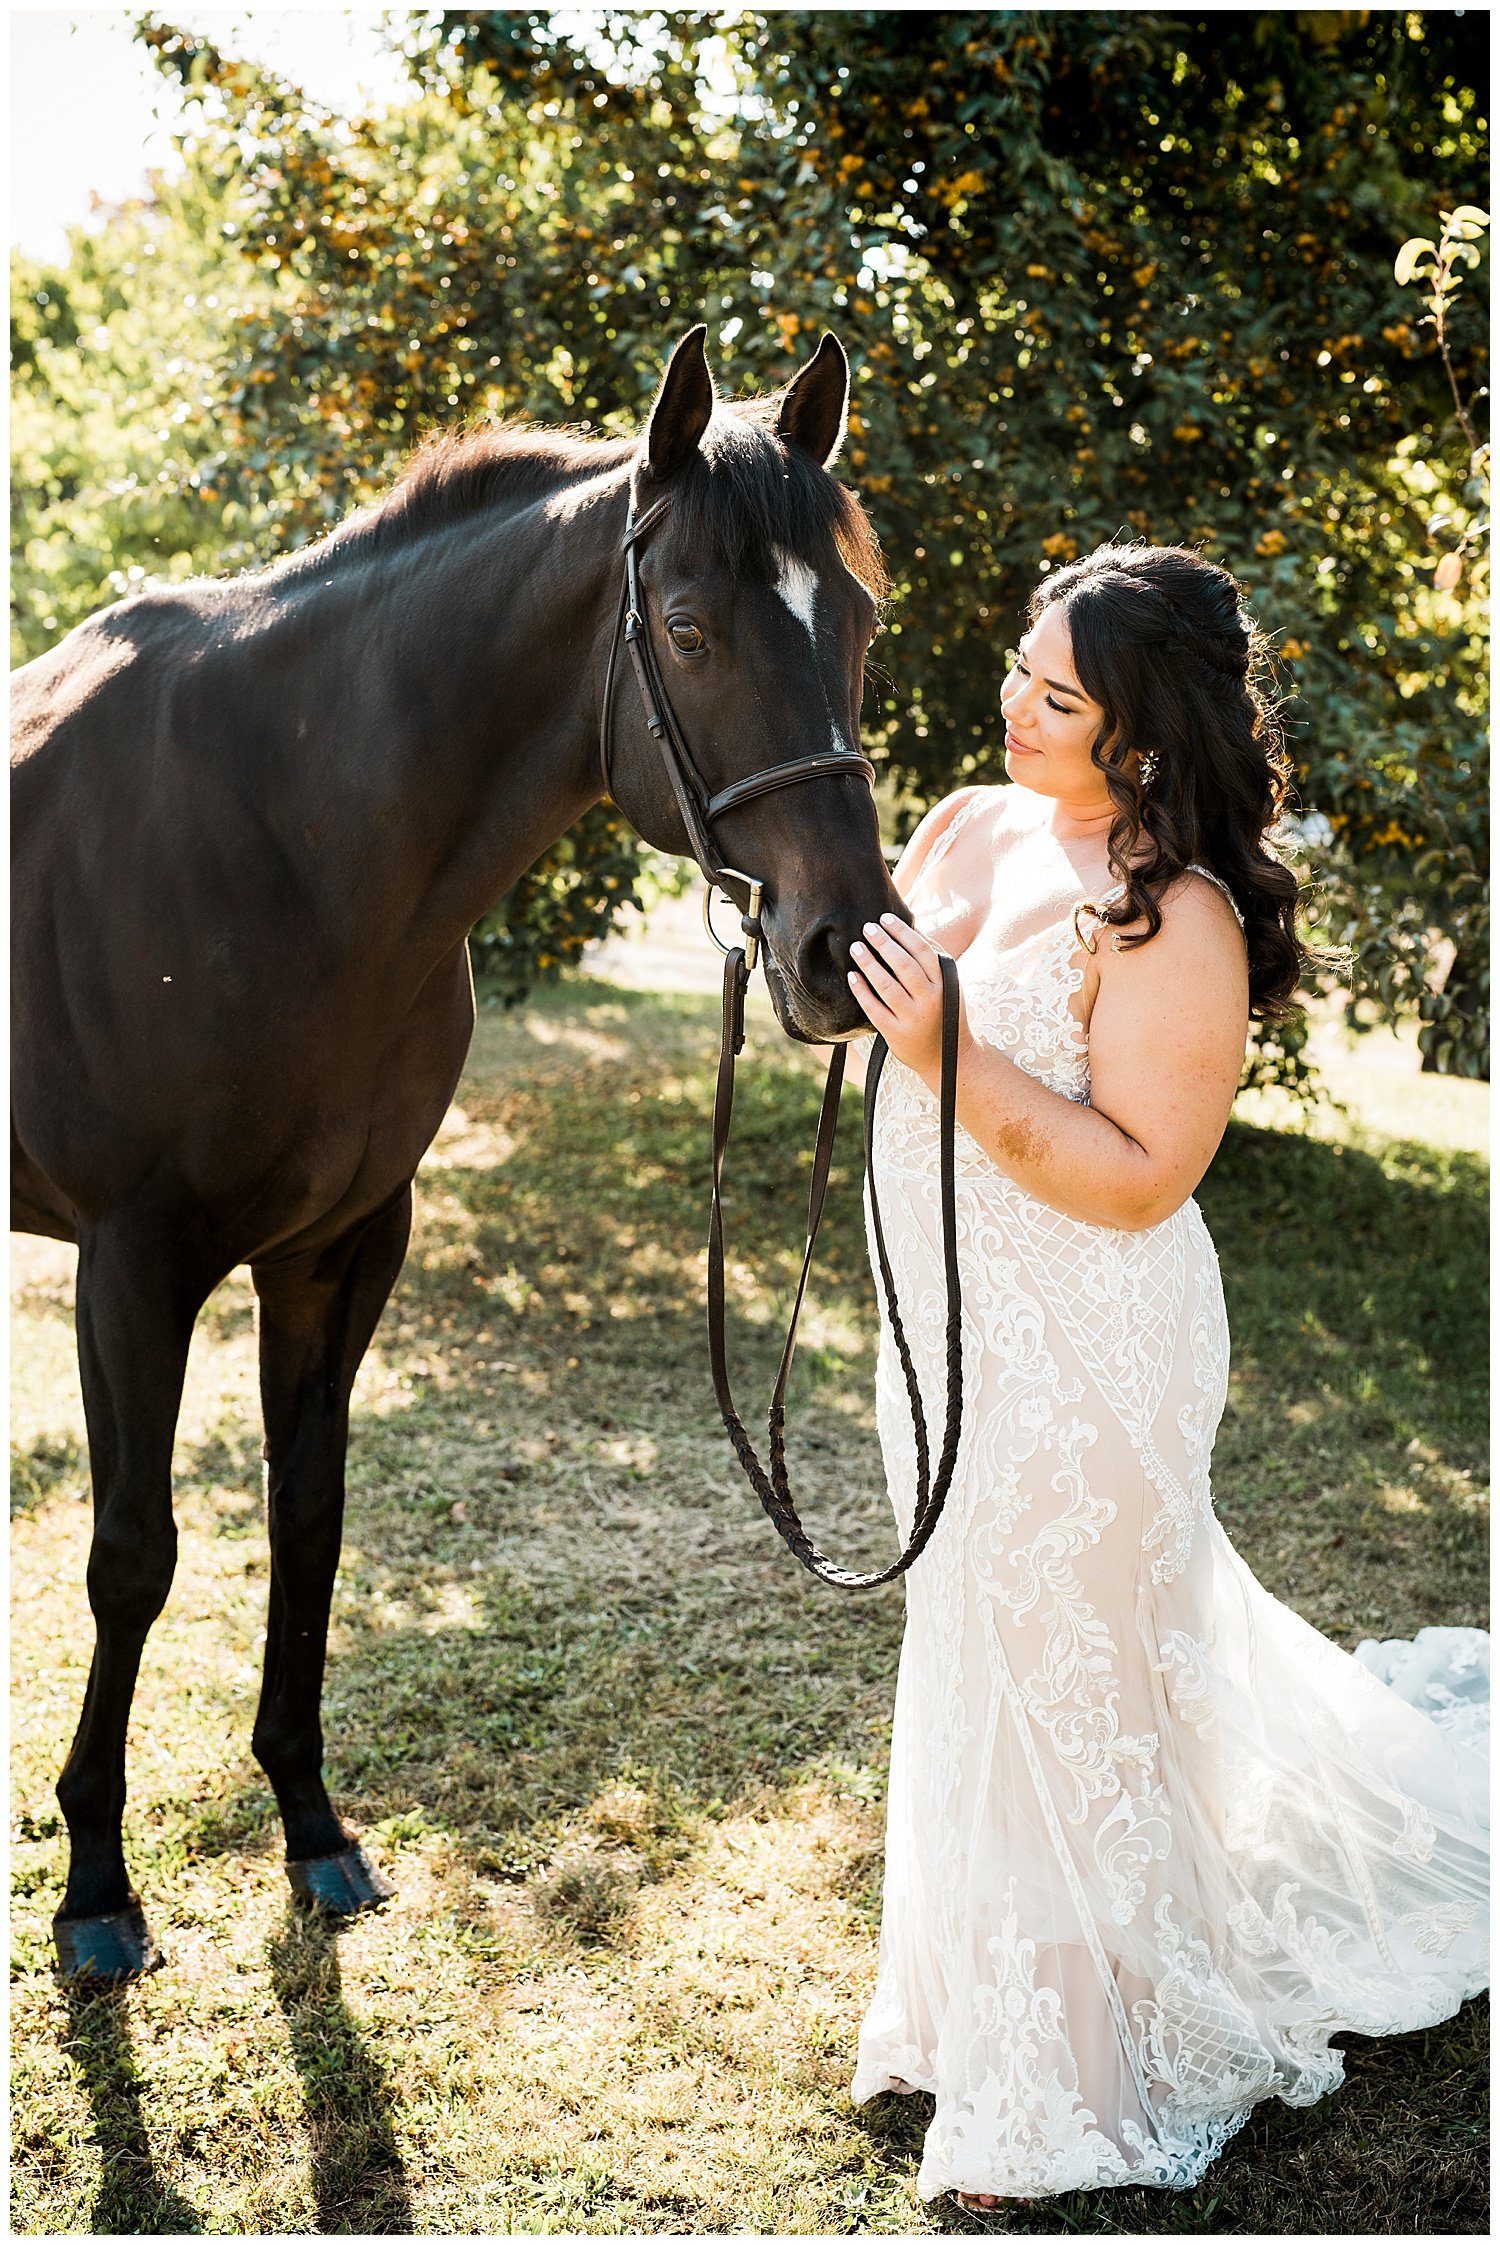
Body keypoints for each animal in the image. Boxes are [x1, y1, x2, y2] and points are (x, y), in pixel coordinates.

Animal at [8, 325, 902, 1975]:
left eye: (861, 618)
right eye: (689, 630)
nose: (839, 950)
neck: (290, 834)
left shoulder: (341, 1248)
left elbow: (310, 1515)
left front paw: (309, 1822)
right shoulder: (132, 1265)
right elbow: (132, 1554)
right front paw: (97, 1883)